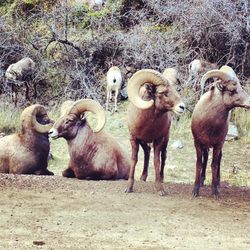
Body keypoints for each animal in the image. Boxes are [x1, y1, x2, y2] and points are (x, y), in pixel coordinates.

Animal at [191, 65, 250, 198]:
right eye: (232, 90)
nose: (249, 103)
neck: (210, 125)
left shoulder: (218, 144)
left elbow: (214, 164)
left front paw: (215, 192)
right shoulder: (198, 143)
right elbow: (199, 164)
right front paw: (195, 191)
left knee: (218, 161)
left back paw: (217, 184)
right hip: (206, 146)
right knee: (205, 158)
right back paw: (202, 181)